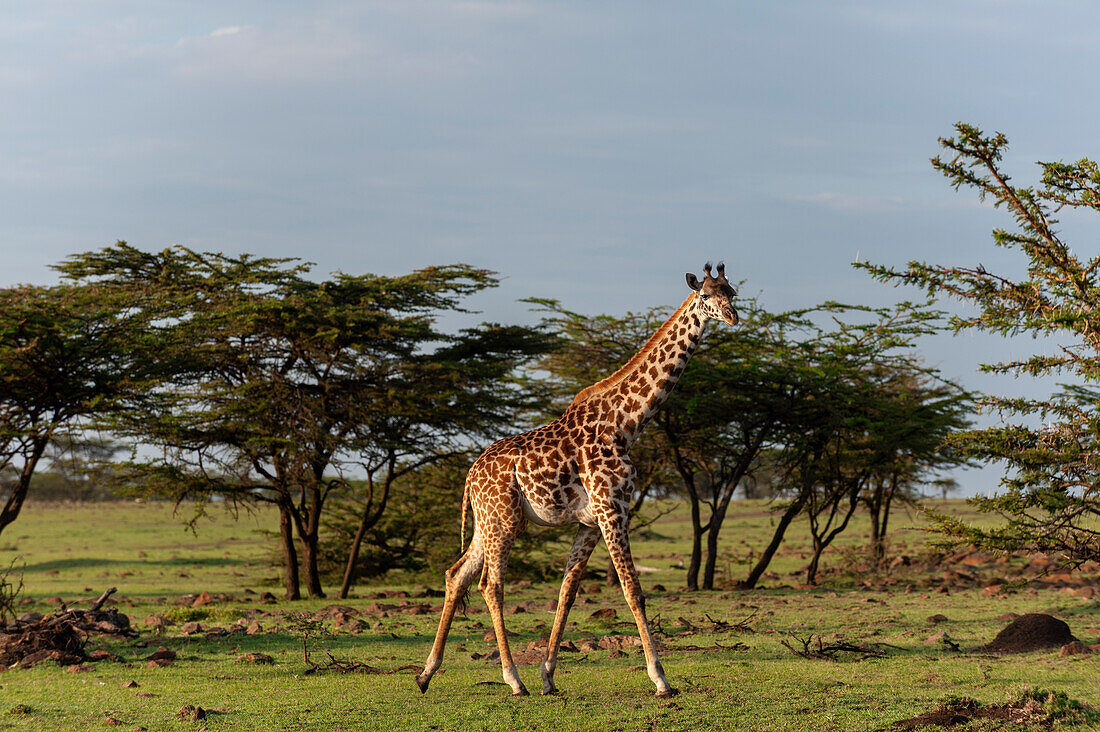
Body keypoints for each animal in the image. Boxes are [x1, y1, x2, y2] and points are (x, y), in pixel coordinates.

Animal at [418, 260, 739, 695]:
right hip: (504, 520)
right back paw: (512, 679)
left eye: (733, 293)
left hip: (487, 522)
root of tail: (470, 476)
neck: (627, 424)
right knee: (490, 584)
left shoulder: (590, 521)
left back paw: (426, 673)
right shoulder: (612, 509)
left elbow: (567, 592)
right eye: (705, 295)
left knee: (457, 575)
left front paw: (549, 676)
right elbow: (633, 590)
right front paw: (660, 678)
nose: (732, 316)